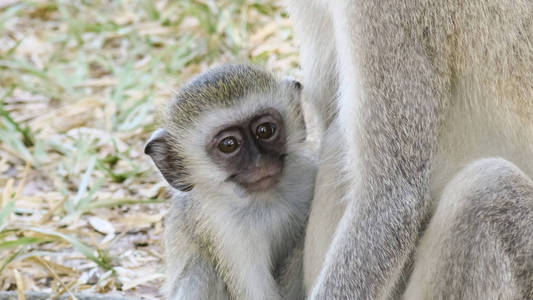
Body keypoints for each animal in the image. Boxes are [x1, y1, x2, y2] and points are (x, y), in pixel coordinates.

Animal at [144, 64, 316, 298]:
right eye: (229, 144)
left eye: (265, 130)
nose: (260, 162)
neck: (268, 200)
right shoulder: (223, 227)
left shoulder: (307, 176)